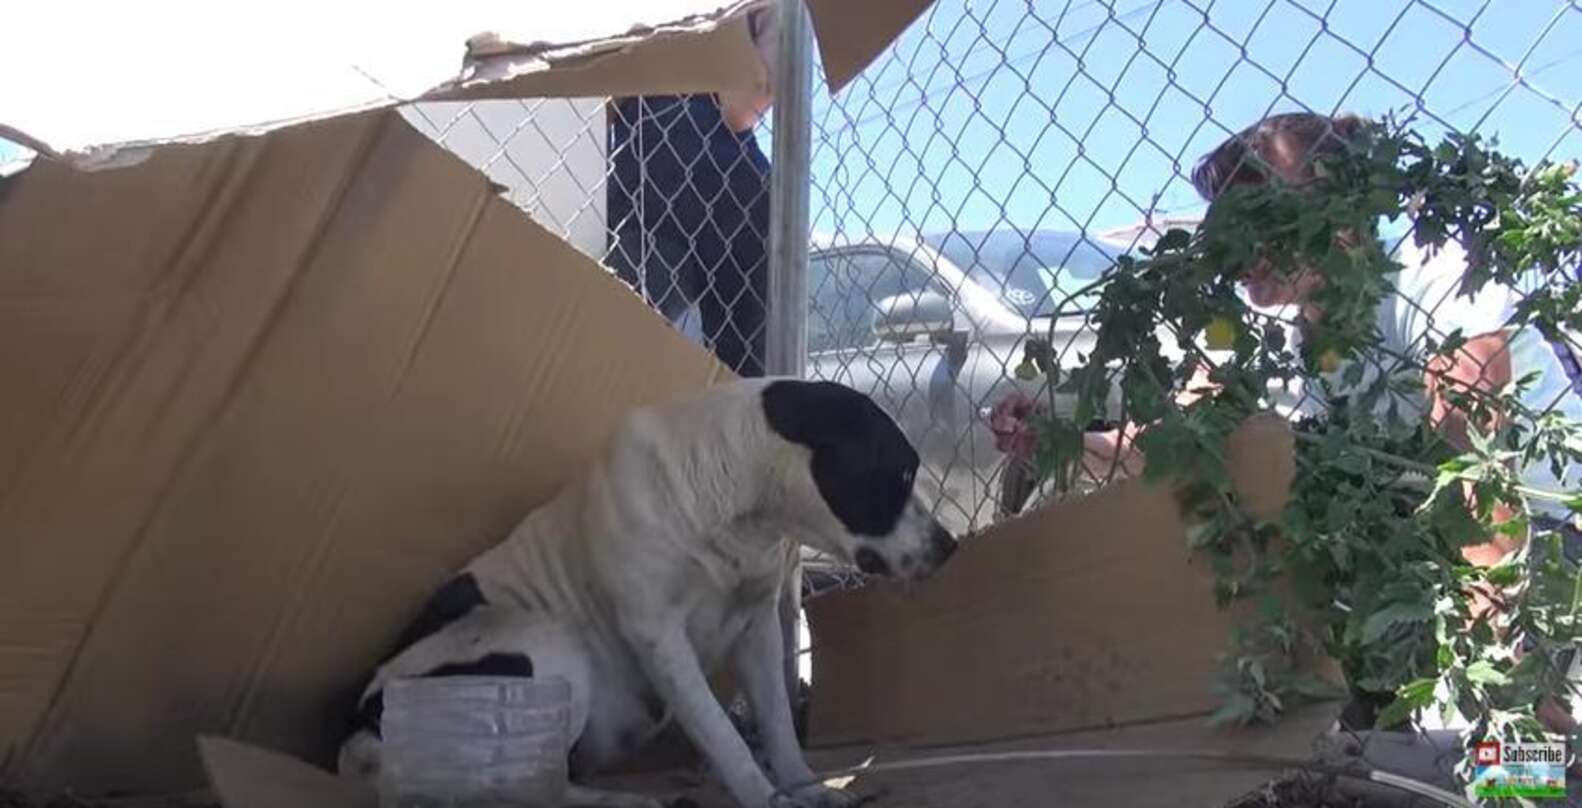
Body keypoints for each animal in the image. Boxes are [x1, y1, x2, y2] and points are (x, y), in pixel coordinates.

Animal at [340, 379, 955, 808]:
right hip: (544, 640)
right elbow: (721, 733)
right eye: (900, 475)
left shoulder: (757, 626)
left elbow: (779, 723)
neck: (735, 498)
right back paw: (619, 800)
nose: (949, 545)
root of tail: (362, 728)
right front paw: (764, 796)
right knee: (530, 787)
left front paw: (803, 786)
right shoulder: (660, 637)